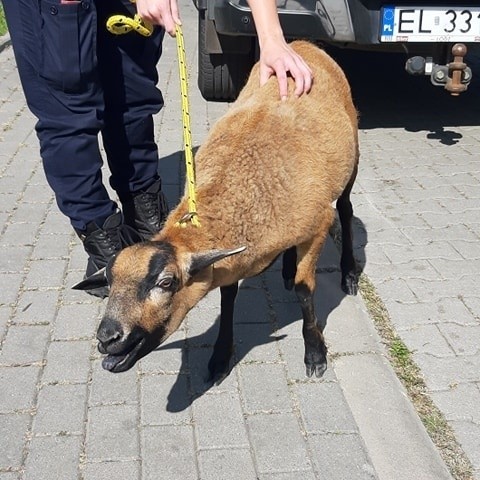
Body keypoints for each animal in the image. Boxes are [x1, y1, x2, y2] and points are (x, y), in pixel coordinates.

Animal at [74, 40, 360, 382]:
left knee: (346, 209)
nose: (107, 338)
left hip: (352, 157)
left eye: (167, 283)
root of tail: (301, 44)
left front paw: (315, 353)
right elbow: (227, 298)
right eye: (110, 280)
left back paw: (349, 274)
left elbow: (306, 292)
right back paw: (288, 268)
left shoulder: (318, 225)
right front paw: (221, 356)